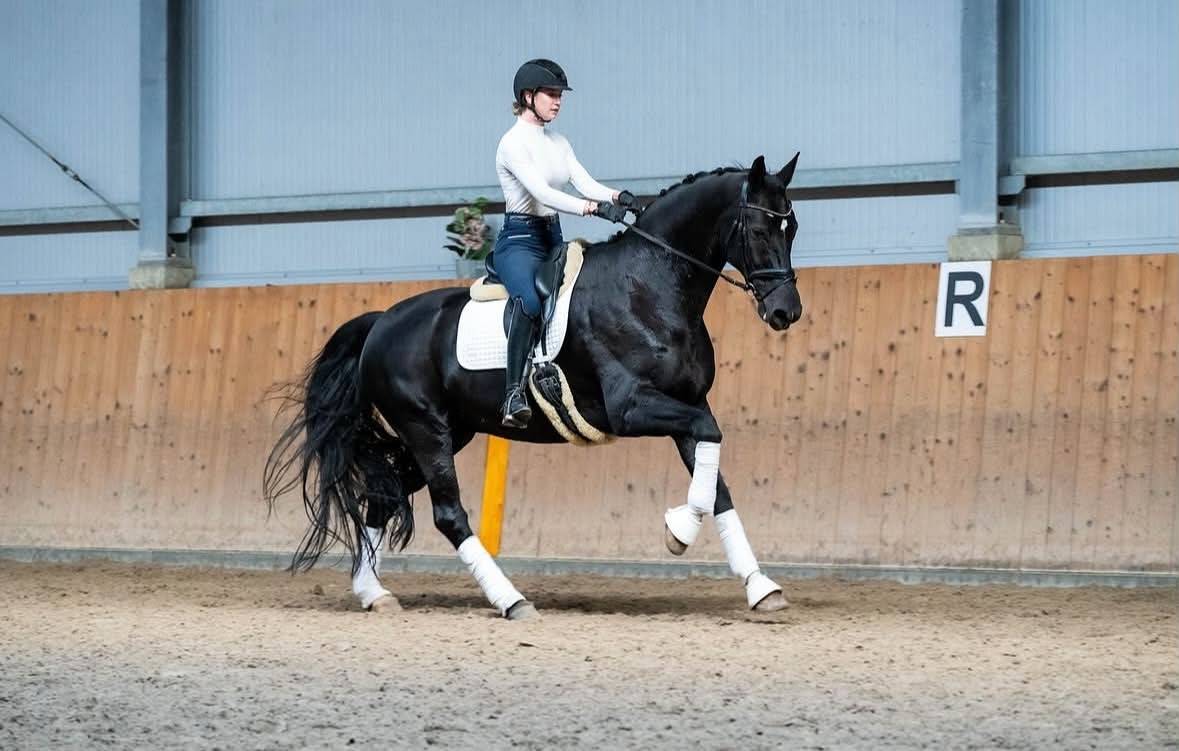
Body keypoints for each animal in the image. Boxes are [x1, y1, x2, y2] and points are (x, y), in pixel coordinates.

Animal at [263, 154, 803, 619]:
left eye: (791, 227)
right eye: (759, 230)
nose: (786, 312)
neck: (648, 286)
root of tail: (380, 322)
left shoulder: (688, 406)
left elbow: (717, 483)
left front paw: (761, 587)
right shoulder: (632, 408)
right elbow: (711, 446)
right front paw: (679, 531)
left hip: (449, 432)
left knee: (385, 494)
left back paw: (373, 593)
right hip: (424, 429)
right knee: (447, 514)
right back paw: (511, 600)